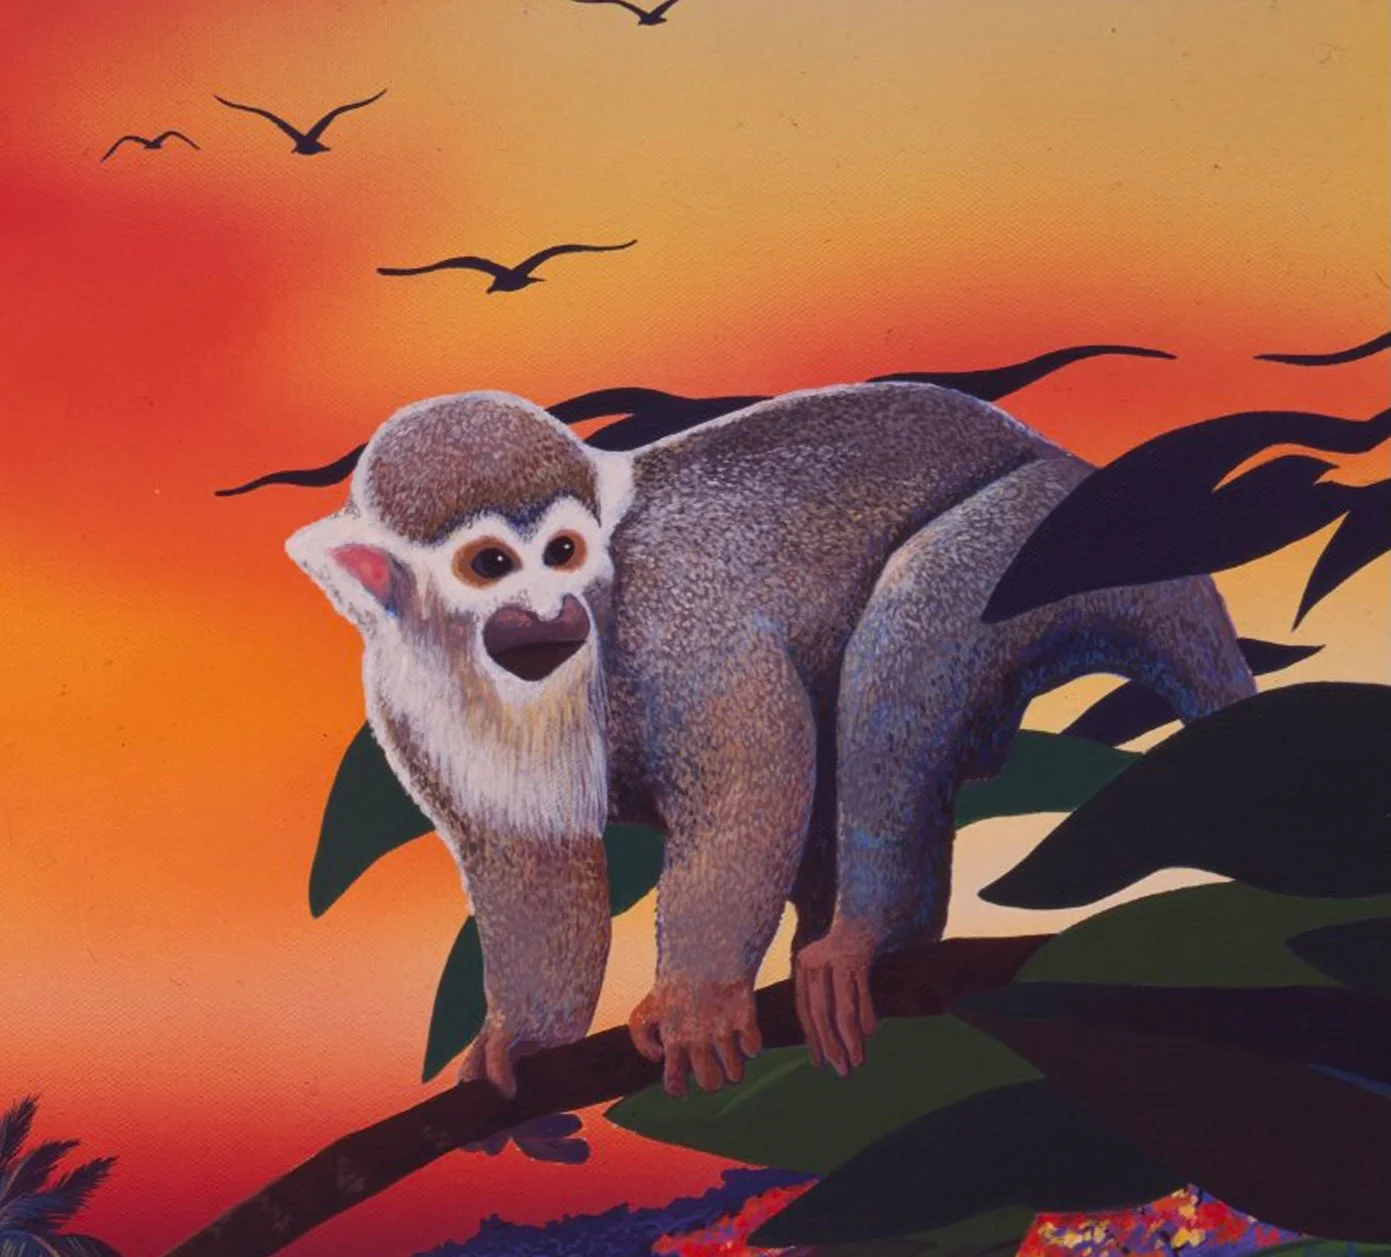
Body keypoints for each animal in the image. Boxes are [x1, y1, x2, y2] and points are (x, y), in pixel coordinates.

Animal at [287, 383, 1255, 1098]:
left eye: (561, 552)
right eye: (491, 566)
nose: (550, 610)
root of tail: (1073, 462)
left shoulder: (666, 615)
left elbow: (755, 758)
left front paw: (697, 994)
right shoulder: (397, 699)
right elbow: (530, 854)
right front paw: (524, 1039)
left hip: (1050, 532)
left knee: (909, 612)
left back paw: (867, 932)